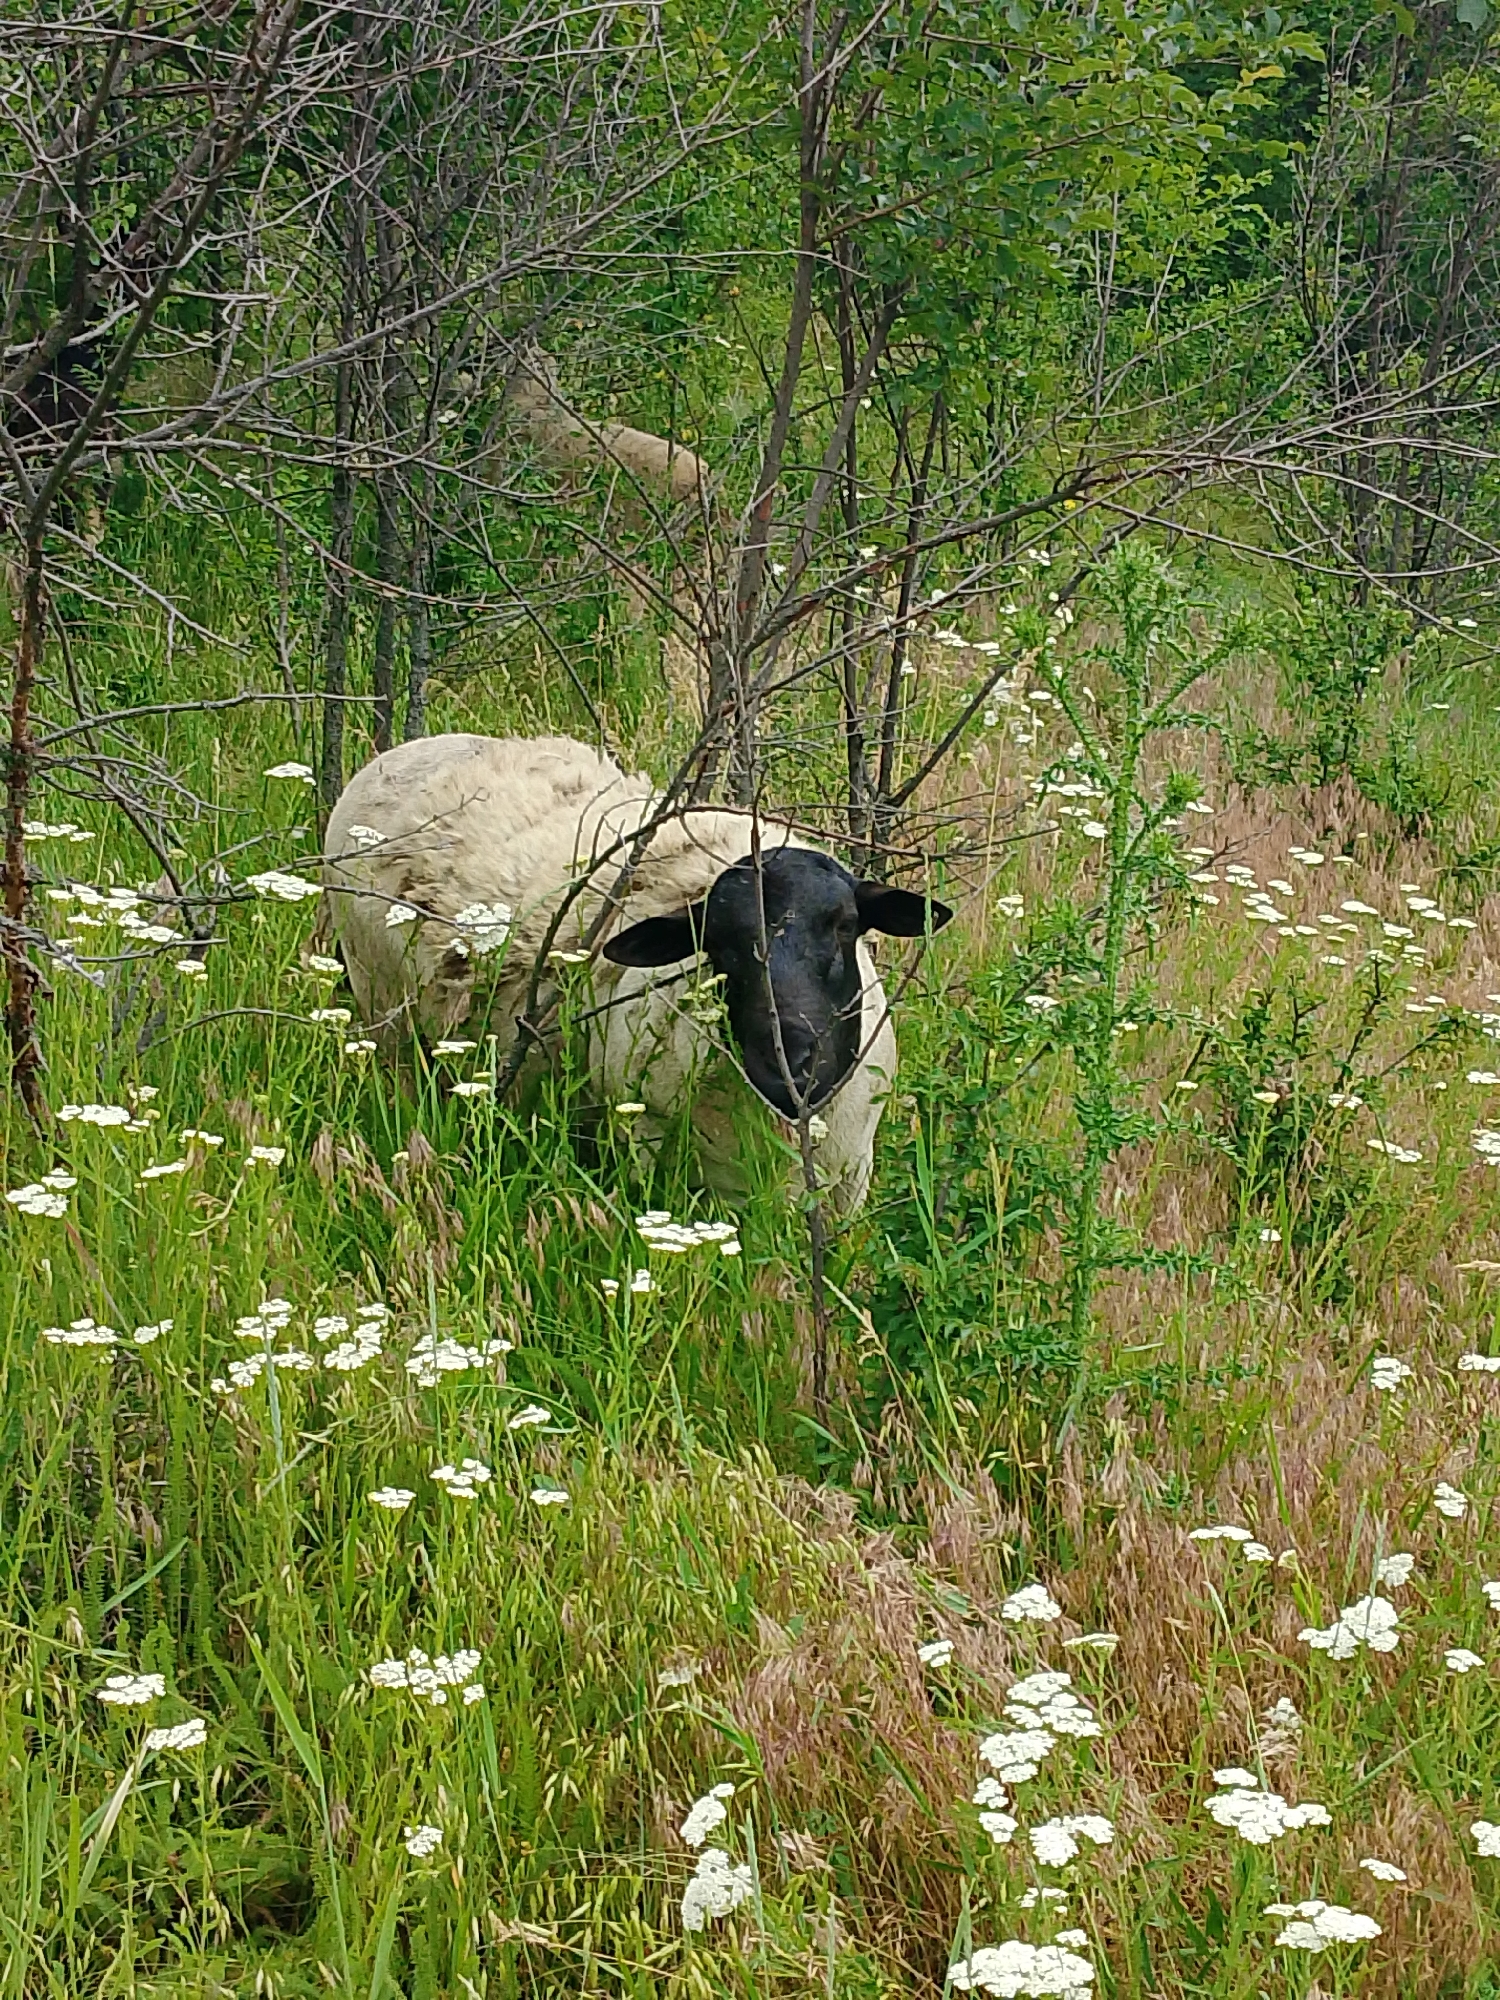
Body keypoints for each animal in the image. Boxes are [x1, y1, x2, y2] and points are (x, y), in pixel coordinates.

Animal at [321, 733, 950, 1214]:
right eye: (717, 946)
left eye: (845, 925)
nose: (787, 1058)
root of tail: (398, 752)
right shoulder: (650, 1149)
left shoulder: (852, 1175)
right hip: (384, 1014)